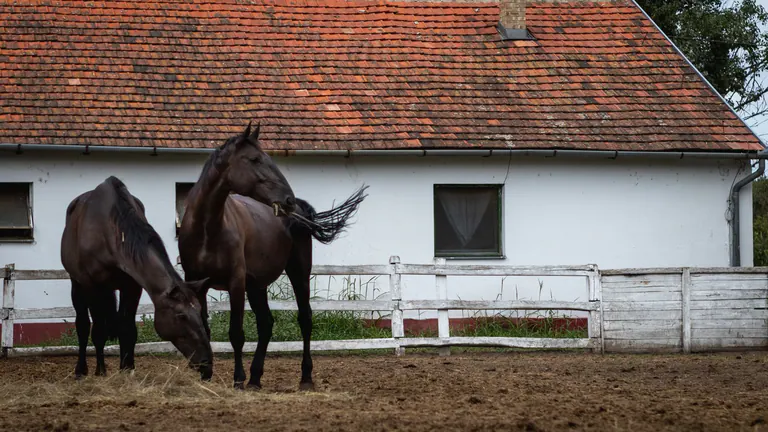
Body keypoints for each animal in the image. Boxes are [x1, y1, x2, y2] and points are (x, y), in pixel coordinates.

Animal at [61, 176, 214, 380]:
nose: (207, 364)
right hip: (78, 284)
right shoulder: (92, 286)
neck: (110, 232)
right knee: (83, 325)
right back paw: (82, 370)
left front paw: (127, 368)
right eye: (181, 316)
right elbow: (97, 330)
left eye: (200, 311)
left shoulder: (132, 287)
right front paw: (101, 371)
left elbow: (128, 328)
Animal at [178, 122, 367, 390]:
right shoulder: (197, 282)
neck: (208, 229)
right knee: (266, 324)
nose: (287, 199)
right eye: (255, 159)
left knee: (305, 319)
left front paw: (237, 379)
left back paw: (305, 377)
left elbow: (236, 334)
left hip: (298, 273)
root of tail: (300, 211)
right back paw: (255, 378)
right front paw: (207, 375)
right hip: (257, 285)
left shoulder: (236, 283)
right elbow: (204, 329)